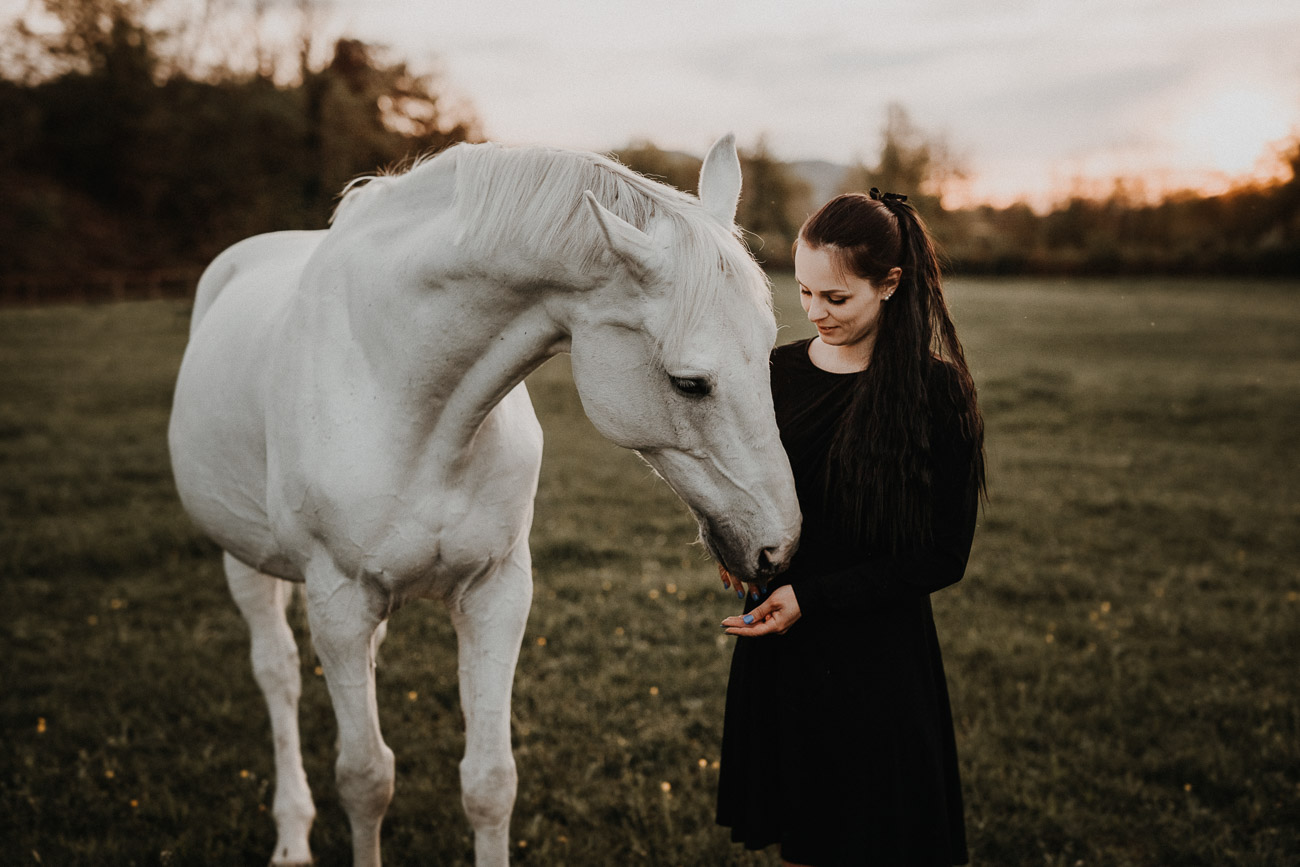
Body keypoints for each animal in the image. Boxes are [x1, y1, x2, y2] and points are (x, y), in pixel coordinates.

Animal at [170, 132, 800, 863]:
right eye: (689, 383)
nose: (779, 545)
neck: (406, 393)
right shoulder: (339, 602)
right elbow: (365, 779)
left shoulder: (496, 590)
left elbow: (490, 781)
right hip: (244, 559)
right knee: (278, 675)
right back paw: (292, 836)